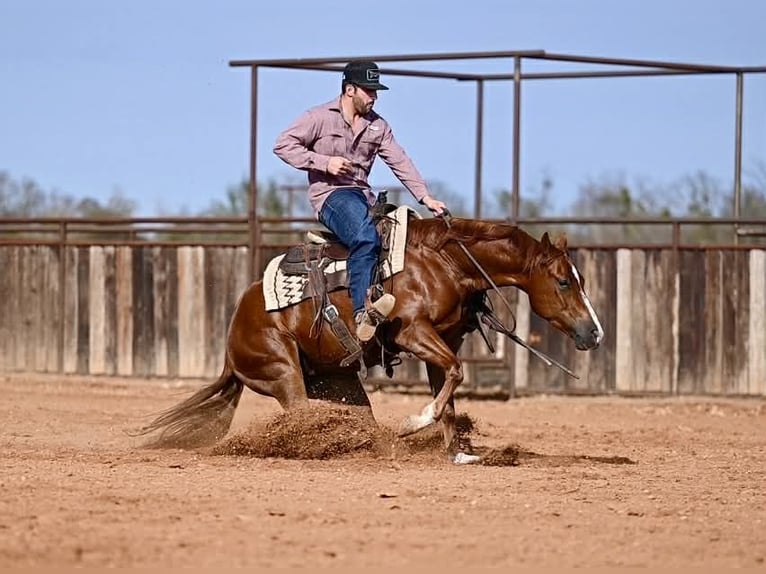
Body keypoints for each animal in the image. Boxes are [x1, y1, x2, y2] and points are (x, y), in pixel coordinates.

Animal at [136, 214, 604, 463]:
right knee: (299, 415)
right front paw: (414, 423)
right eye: (564, 281)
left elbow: (451, 389)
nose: (594, 333)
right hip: (282, 371)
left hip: (338, 380)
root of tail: (231, 350)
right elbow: (455, 376)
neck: (445, 264)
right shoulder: (414, 333)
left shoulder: (443, 342)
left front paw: (456, 452)